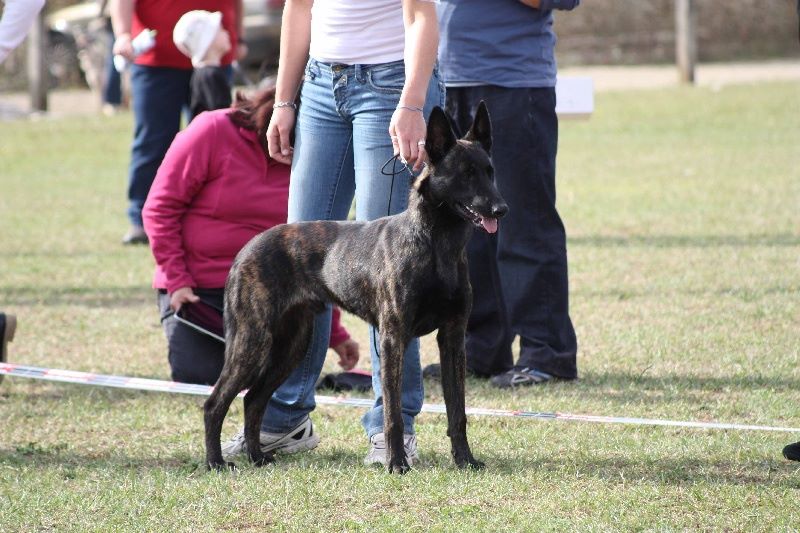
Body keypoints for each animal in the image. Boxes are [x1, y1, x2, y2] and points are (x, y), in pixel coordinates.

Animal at [205, 102, 506, 472]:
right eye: (465, 174)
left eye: (489, 171)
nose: (501, 209)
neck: (436, 244)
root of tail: (246, 249)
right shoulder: (393, 338)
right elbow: (393, 414)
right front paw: (396, 464)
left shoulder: (452, 339)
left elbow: (457, 411)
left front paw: (464, 459)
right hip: (253, 342)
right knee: (217, 402)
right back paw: (216, 462)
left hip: (291, 346)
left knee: (253, 400)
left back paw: (258, 456)